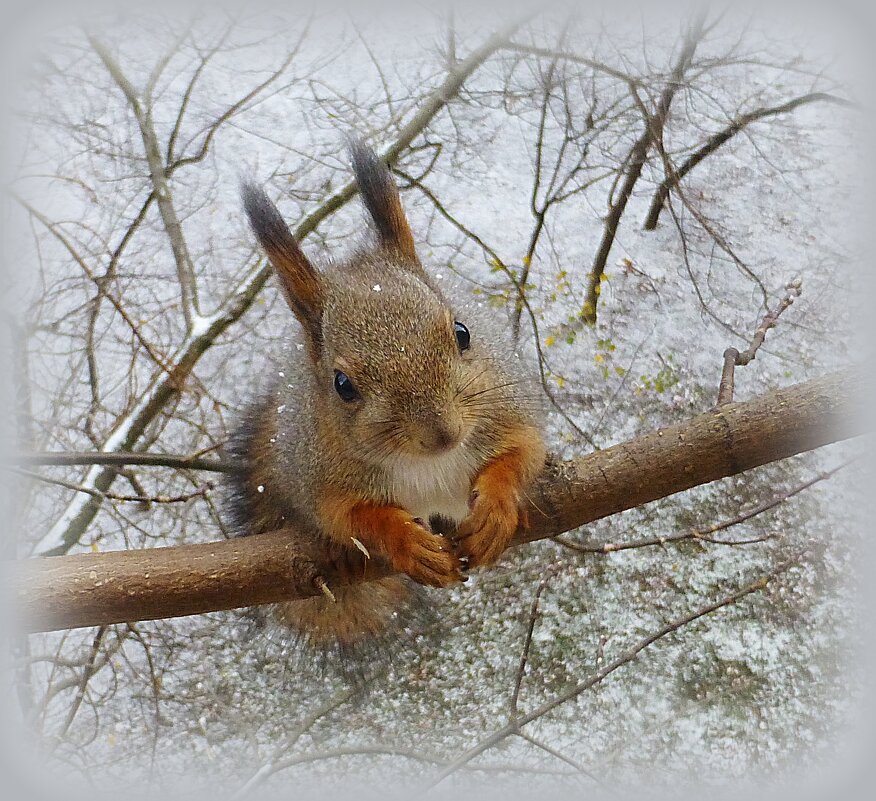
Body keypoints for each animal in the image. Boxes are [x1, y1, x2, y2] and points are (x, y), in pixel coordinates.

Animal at [226, 144, 544, 668]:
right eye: (342, 385)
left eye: (462, 332)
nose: (443, 433)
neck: (427, 465)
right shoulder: (323, 483)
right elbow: (353, 519)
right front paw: (407, 542)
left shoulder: (510, 411)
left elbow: (523, 453)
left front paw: (496, 508)